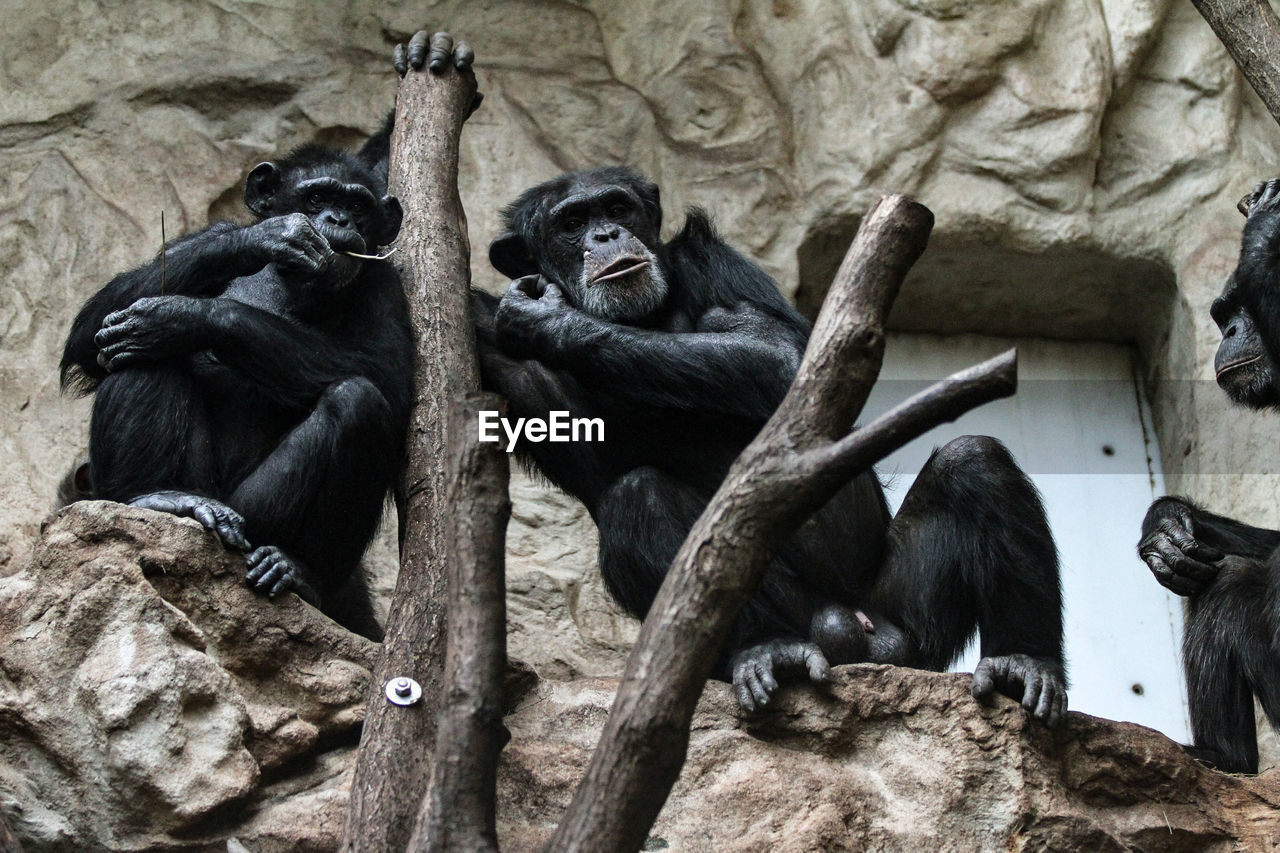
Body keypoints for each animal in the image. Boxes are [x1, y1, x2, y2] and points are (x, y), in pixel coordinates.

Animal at [60, 136, 412, 637]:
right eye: (316, 199)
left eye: (357, 206)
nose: (338, 221)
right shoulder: (198, 242)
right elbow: (90, 333)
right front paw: (267, 237)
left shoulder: (386, 283)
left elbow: (388, 377)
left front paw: (184, 317)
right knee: (131, 349)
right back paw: (154, 498)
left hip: (256, 518)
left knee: (357, 401)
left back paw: (297, 571)